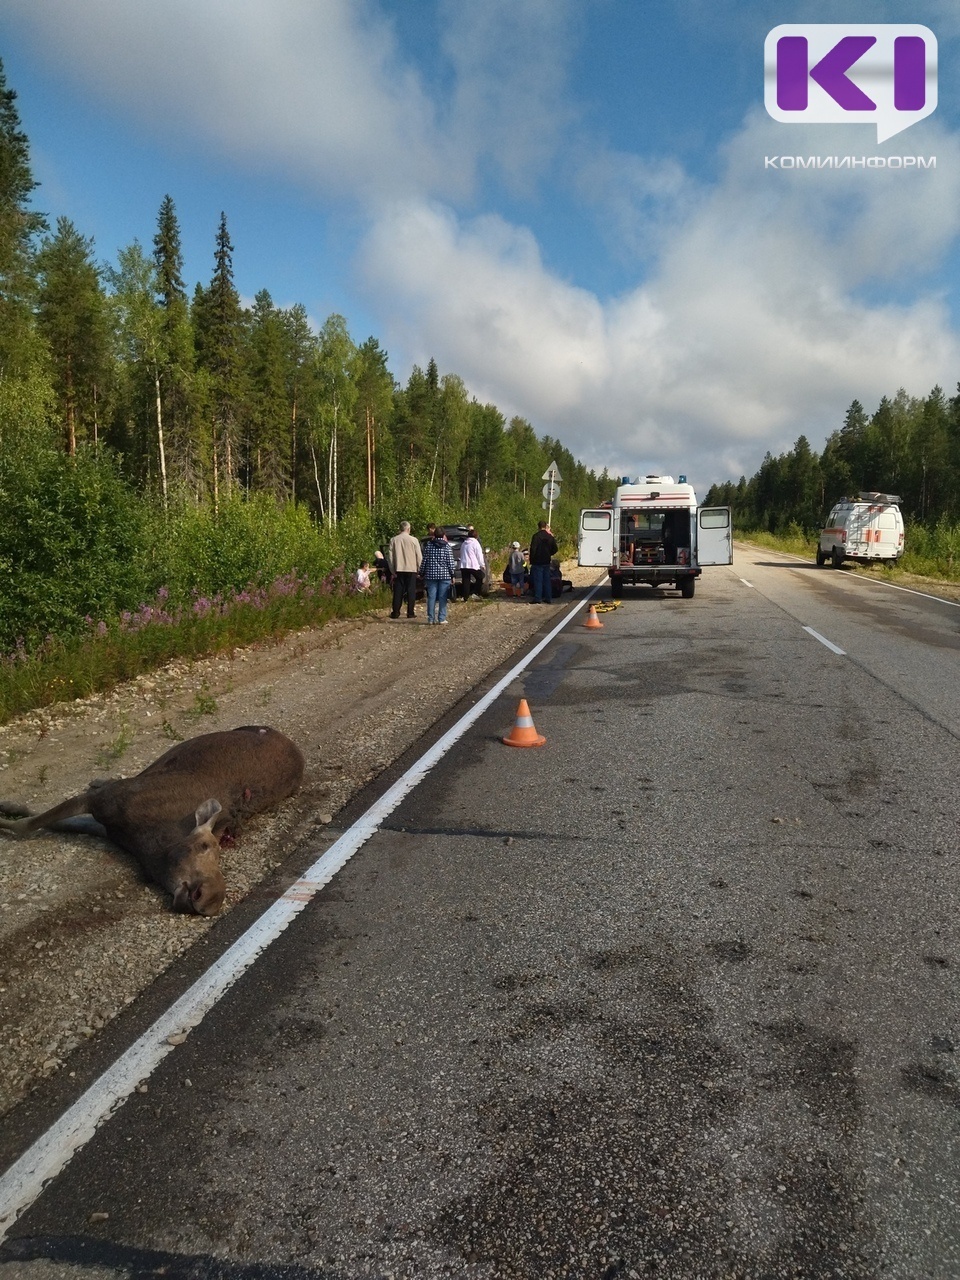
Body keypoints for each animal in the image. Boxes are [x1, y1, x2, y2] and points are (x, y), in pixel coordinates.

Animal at [0, 727, 304, 916]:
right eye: (204, 846)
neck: (150, 846)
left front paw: (9, 808)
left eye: (220, 851)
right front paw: (7, 810)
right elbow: (30, 823)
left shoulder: (106, 824)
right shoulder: (103, 805)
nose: (211, 898)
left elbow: (40, 820)